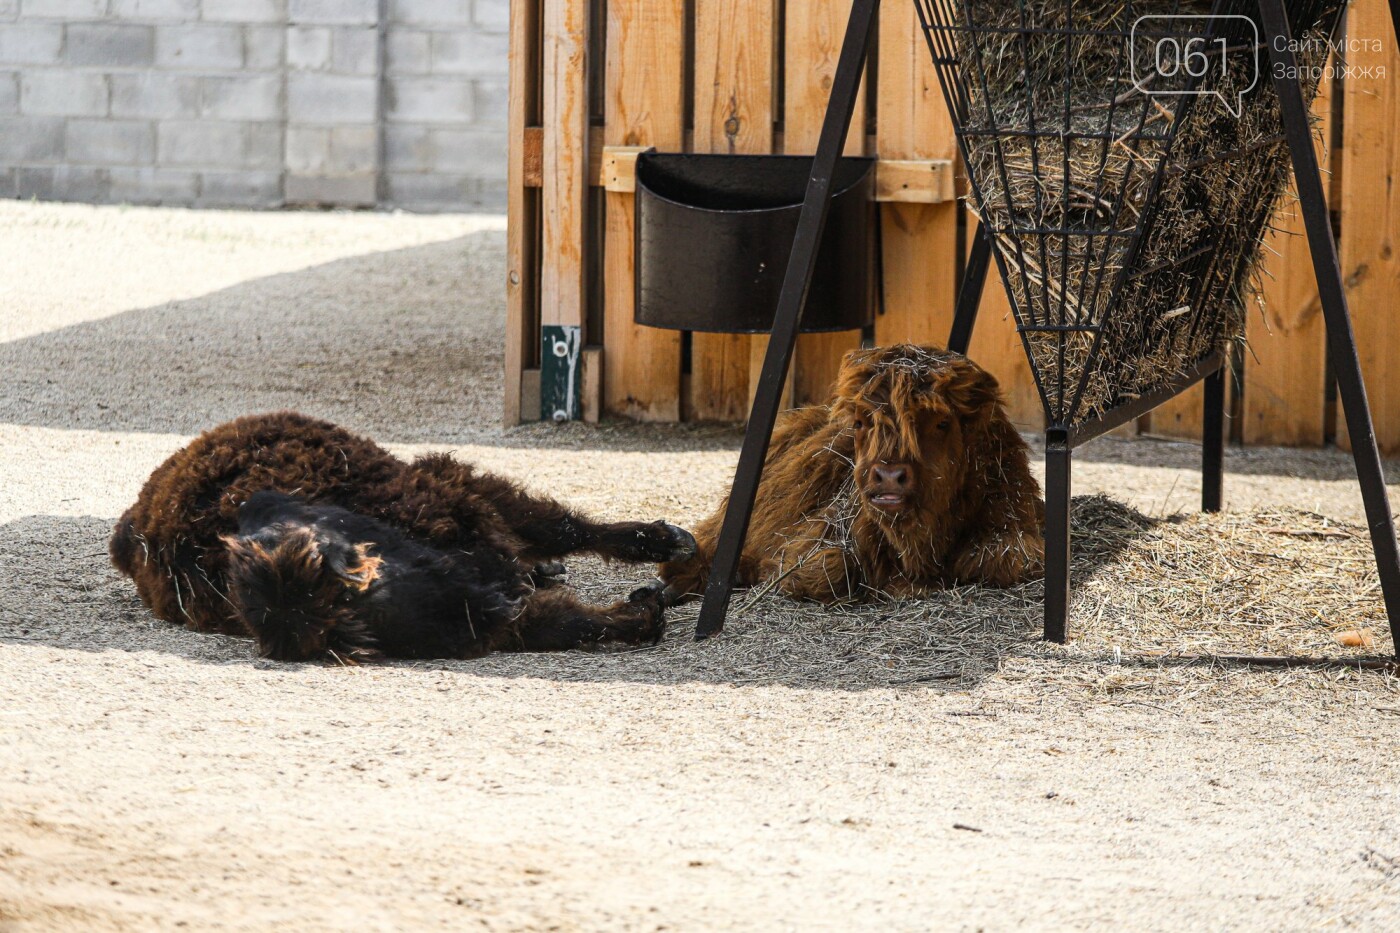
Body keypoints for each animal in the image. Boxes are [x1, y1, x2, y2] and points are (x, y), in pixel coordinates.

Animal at [660, 344, 1047, 599]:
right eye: (862, 423)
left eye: (941, 422)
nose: (889, 477)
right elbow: (826, 568)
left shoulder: (1014, 528)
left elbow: (999, 560)